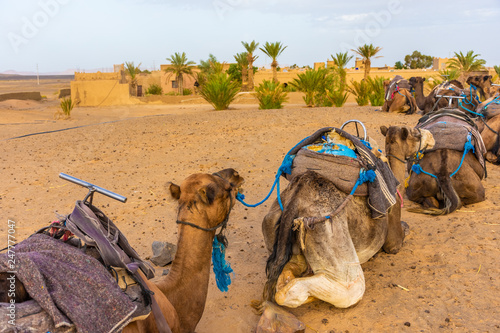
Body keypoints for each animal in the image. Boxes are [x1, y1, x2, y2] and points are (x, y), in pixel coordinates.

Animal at [254, 127, 434, 330]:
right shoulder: (393, 236)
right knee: (348, 289)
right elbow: (401, 235)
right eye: (415, 134)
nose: (431, 138)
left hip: (274, 222)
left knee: (284, 275)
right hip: (328, 233)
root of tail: (297, 196)